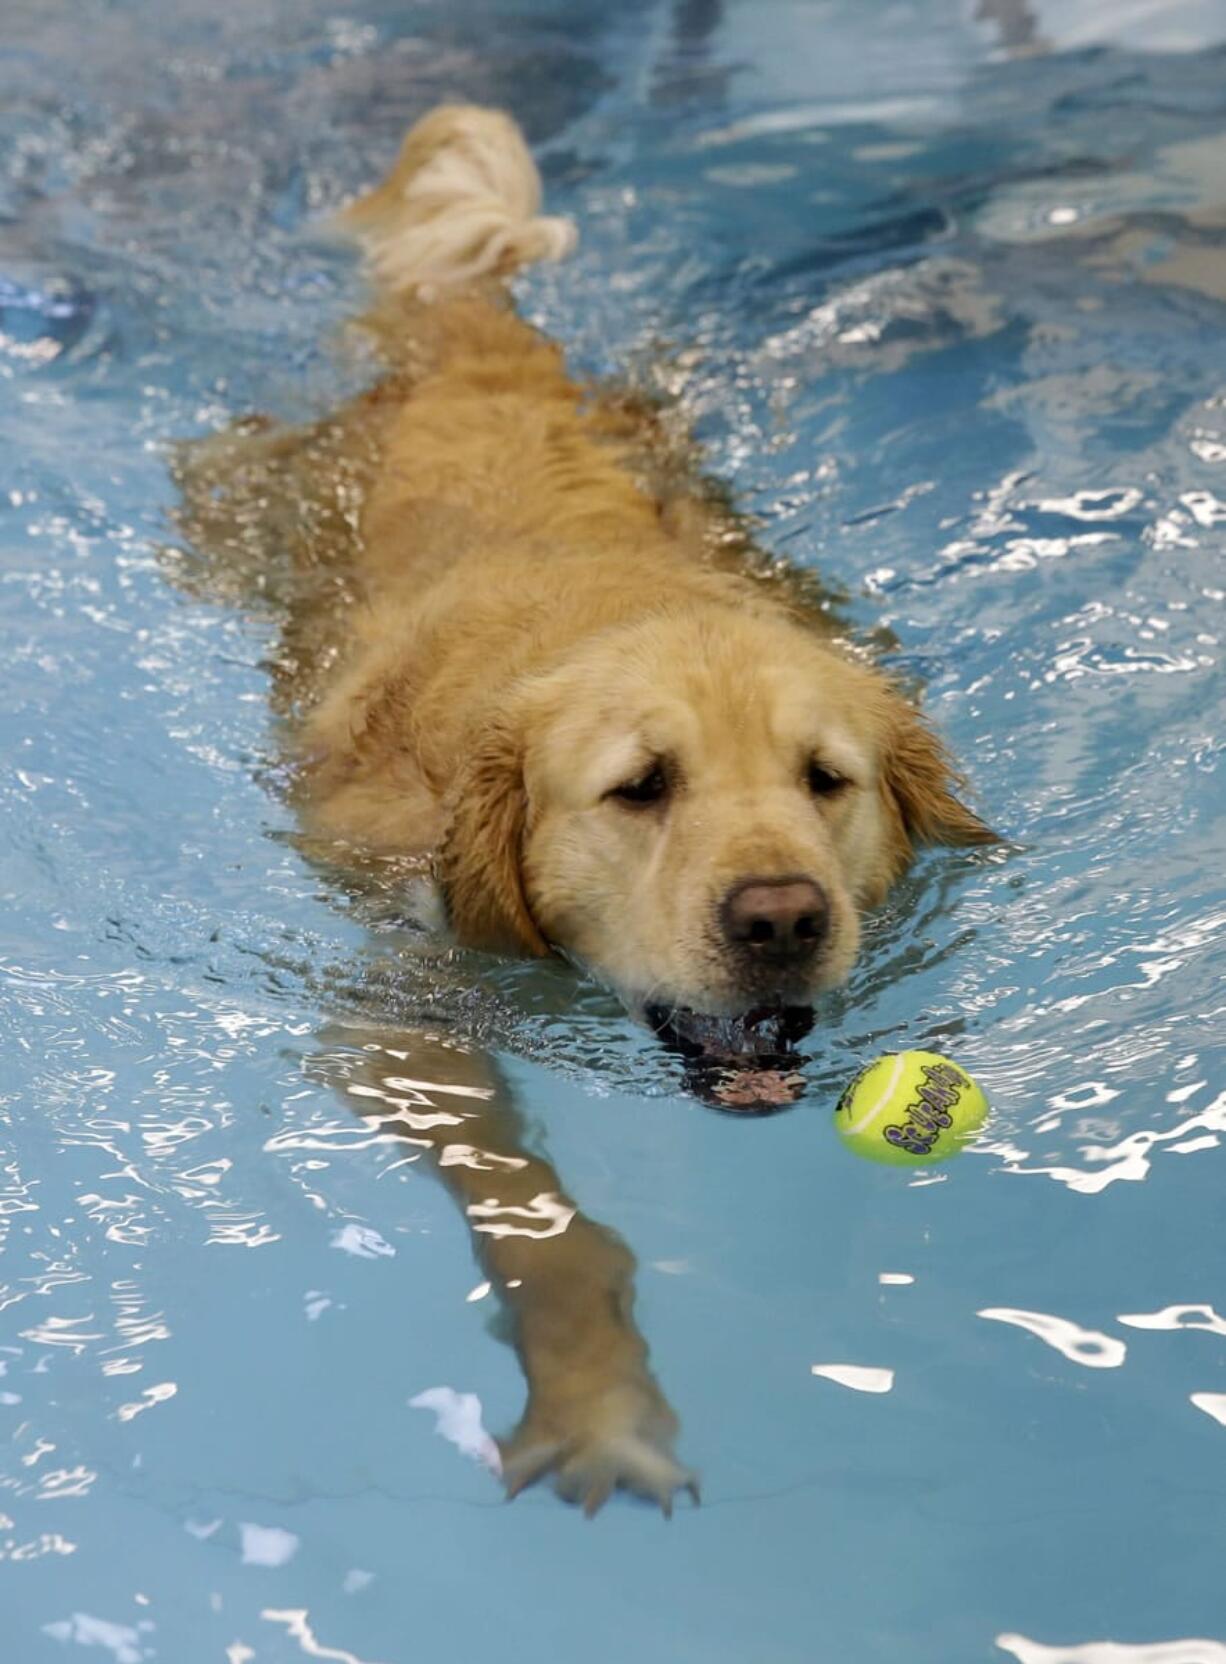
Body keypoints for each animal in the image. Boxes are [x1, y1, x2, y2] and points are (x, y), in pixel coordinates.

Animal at [174, 100, 998, 1510]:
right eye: (640, 786)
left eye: (823, 779)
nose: (781, 918)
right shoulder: (403, 1017)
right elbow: (538, 1215)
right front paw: (595, 1400)